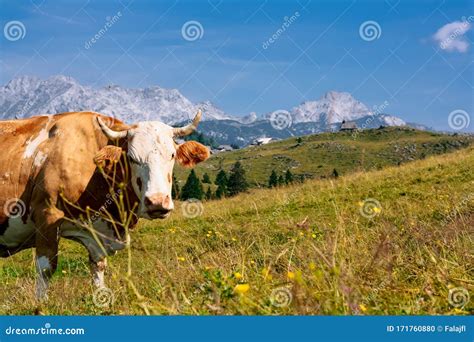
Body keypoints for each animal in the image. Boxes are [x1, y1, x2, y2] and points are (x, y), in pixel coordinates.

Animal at [0, 111, 208, 298]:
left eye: (172, 155)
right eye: (131, 158)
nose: (157, 202)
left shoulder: (97, 234)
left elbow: (98, 266)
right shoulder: (47, 215)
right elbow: (45, 269)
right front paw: (41, 305)